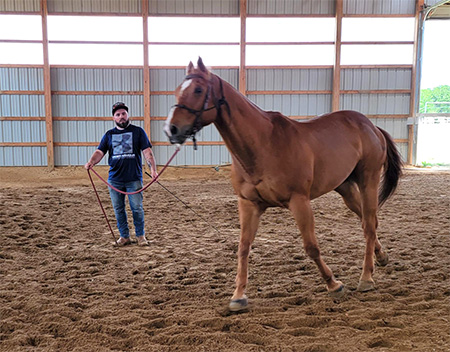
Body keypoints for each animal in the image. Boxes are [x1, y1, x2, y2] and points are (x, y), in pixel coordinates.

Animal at [163, 58, 402, 314]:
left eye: (198, 90)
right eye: (177, 90)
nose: (171, 129)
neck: (263, 145)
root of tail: (371, 126)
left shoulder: (299, 202)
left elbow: (311, 247)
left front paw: (334, 284)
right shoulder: (249, 204)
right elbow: (243, 247)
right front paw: (238, 296)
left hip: (368, 180)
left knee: (368, 226)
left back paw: (366, 278)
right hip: (345, 188)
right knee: (369, 221)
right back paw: (381, 257)